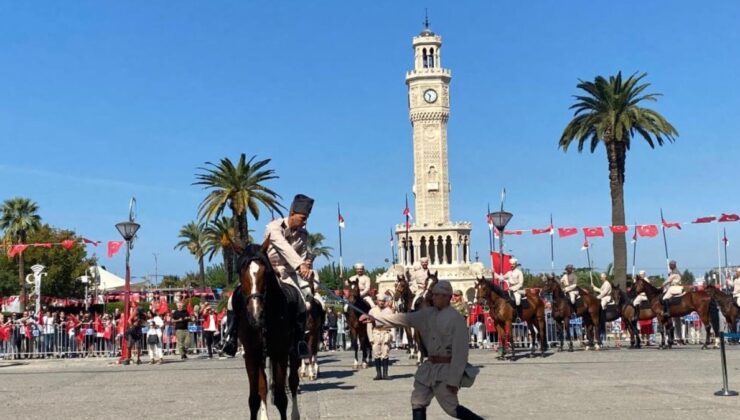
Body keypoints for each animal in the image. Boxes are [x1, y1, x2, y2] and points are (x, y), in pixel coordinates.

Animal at [233, 240, 300, 420]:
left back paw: (295, 413)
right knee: (264, 387)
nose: (255, 313)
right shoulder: (252, 356)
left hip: (294, 351)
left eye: (266, 273)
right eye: (241, 272)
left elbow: (281, 399)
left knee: (293, 381)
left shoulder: (280, 354)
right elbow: (254, 398)